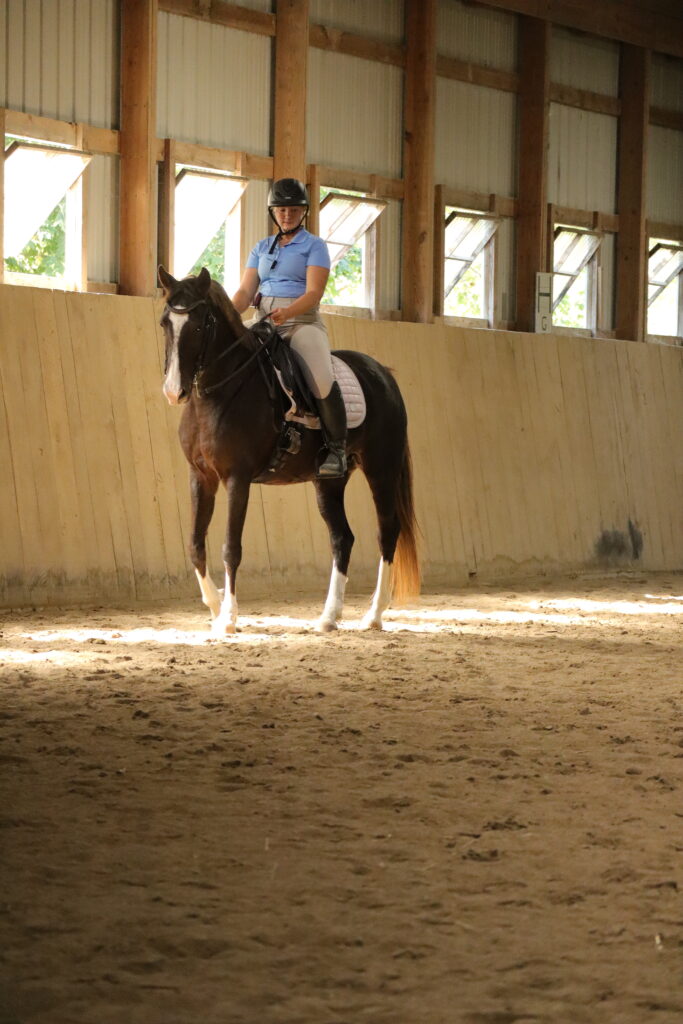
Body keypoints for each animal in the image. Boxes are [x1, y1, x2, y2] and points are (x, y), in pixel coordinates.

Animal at [158, 265, 420, 635]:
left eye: (198, 324)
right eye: (165, 322)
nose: (173, 391)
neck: (218, 393)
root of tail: (383, 374)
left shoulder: (237, 479)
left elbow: (230, 548)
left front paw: (229, 617)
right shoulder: (201, 477)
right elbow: (195, 544)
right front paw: (215, 606)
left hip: (381, 469)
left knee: (387, 532)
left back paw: (374, 615)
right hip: (329, 482)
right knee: (342, 538)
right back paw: (328, 617)